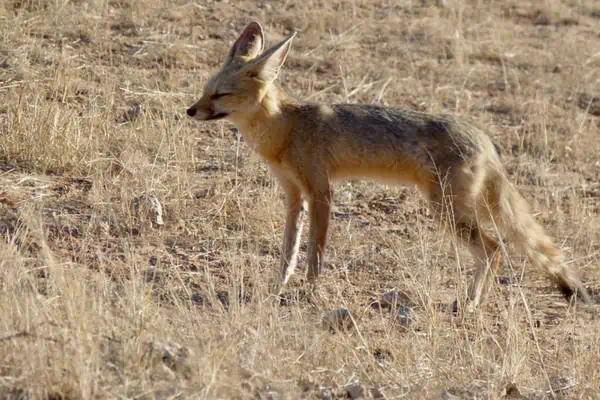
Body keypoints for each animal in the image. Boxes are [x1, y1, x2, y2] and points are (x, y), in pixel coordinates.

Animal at [186, 21, 592, 310]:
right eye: (205, 90)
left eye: (220, 95)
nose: (190, 110)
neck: (286, 127)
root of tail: (485, 139)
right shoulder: (293, 195)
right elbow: (289, 250)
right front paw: (278, 284)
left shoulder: (321, 192)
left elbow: (315, 252)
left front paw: (311, 291)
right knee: (496, 247)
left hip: (447, 211)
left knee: (493, 248)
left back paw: (470, 303)